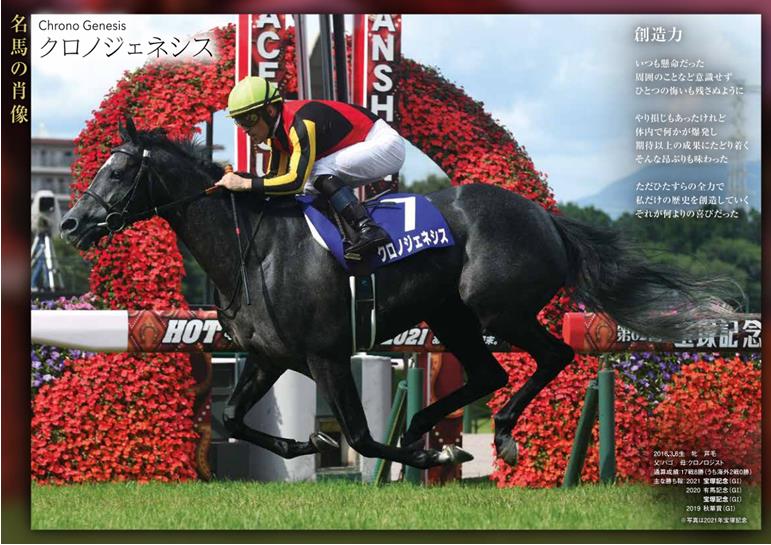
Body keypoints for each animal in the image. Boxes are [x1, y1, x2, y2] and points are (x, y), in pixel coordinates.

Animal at [60, 117, 736, 470]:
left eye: (119, 170)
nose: (69, 224)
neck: (256, 248)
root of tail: (546, 217)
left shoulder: (327, 354)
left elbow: (360, 437)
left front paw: (425, 458)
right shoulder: (269, 355)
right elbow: (231, 418)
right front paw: (303, 441)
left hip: (497, 307)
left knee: (554, 355)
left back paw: (498, 434)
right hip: (454, 315)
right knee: (490, 373)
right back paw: (428, 428)